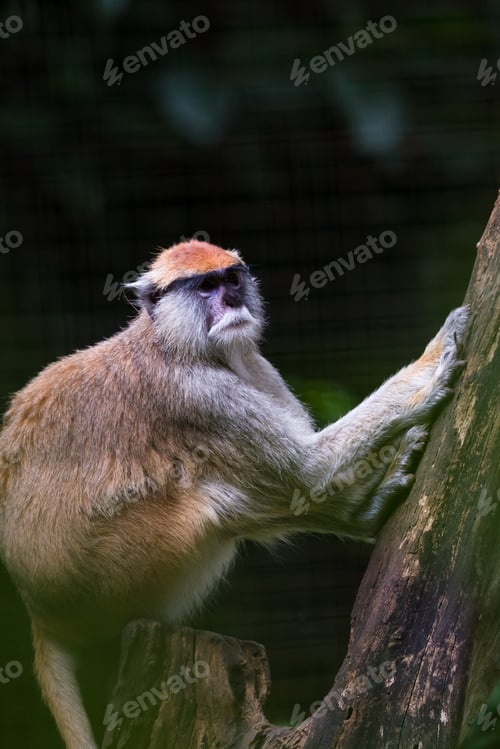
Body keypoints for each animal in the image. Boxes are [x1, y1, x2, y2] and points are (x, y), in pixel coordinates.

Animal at [0, 240, 468, 749]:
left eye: (232, 278)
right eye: (206, 286)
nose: (232, 301)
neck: (173, 341)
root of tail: (36, 607)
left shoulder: (252, 366)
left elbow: (306, 475)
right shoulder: (200, 396)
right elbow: (309, 471)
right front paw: (435, 363)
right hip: (104, 571)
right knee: (212, 500)